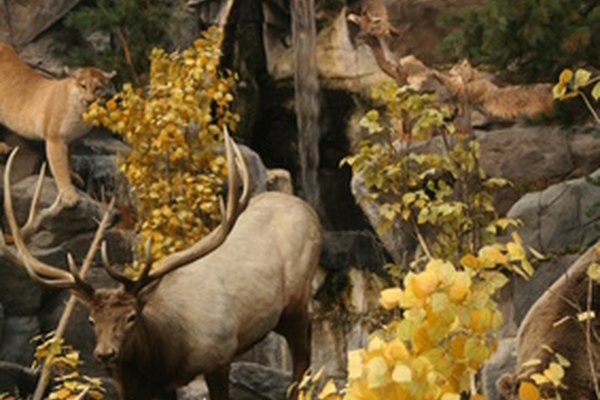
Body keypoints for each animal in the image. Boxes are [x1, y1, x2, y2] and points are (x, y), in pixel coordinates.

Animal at [0, 42, 116, 208]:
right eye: (83, 86)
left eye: (98, 88)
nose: (90, 101)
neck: (81, 114)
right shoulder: (55, 138)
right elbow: (60, 165)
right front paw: (69, 195)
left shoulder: (72, 139)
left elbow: (67, 159)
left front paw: (73, 176)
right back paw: (2, 147)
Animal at [1, 132, 324, 400]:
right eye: (92, 320)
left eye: (131, 316)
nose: (105, 354)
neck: (168, 354)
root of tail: (307, 208)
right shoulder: (152, 386)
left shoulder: (220, 354)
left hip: (296, 303)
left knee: (303, 364)